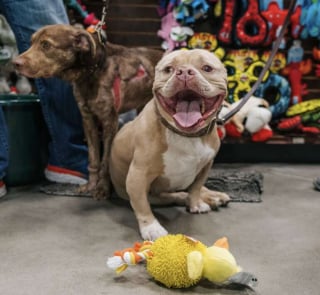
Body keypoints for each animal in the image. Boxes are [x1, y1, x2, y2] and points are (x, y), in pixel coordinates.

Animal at [13, 24, 162, 200]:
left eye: (46, 45)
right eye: (31, 43)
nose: (15, 63)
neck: (92, 70)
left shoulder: (109, 122)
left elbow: (105, 161)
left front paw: (103, 188)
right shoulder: (88, 120)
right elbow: (93, 159)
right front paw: (90, 186)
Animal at [109, 49, 230, 242]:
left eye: (207, 68)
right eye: (168, 69)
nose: (185, 71)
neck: (185, 134)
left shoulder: (206, 166)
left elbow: (196, 188)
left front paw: (196, 204)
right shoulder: (138, 175)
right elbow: (141, 204)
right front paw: (151, 227)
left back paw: (213, 196)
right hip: (155, 195)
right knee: (176, 195)